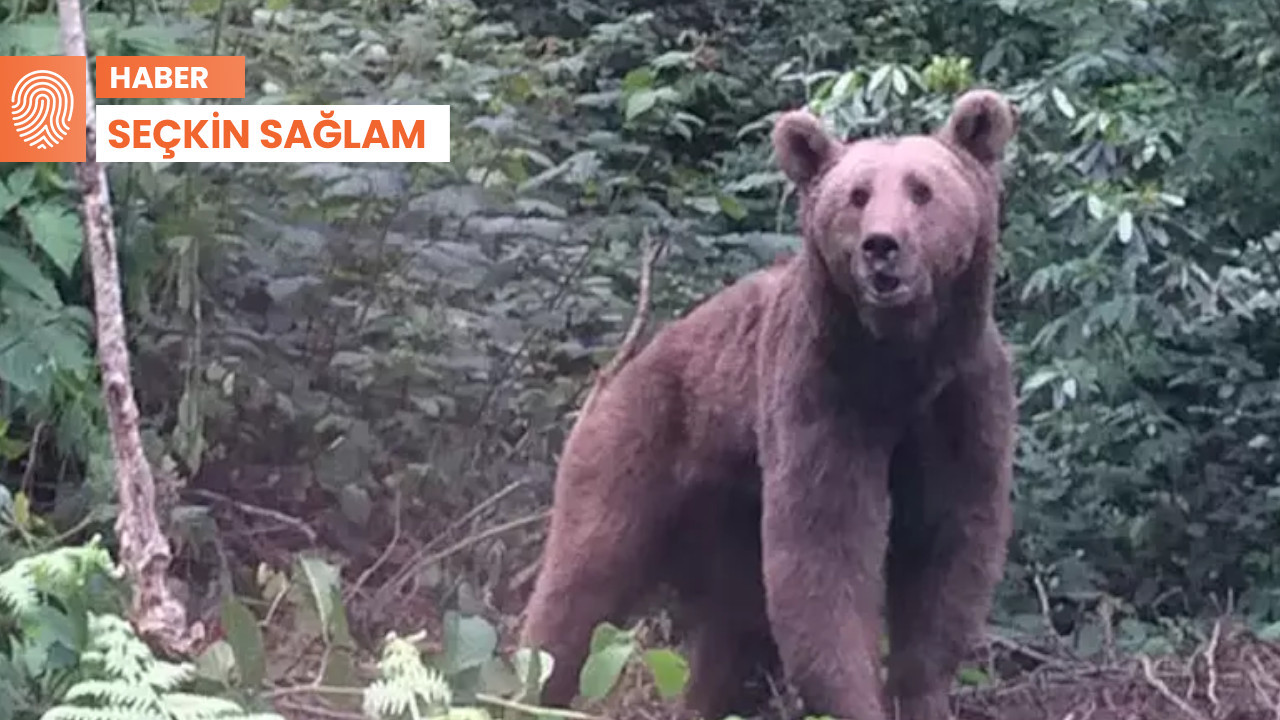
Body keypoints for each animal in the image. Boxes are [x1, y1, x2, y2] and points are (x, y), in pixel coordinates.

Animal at [519, 89, 1018, 717]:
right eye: (857, 195)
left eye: (922, 189)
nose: (882, 247)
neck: (902, 364)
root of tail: (620, 374)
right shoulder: (822, 394)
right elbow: (824, 550)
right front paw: (854, 697)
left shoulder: (961, 400)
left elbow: (947, 544)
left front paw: (919, 690)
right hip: (635, 452)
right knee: (578, 591)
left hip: (728, 519)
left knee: (735, 633)